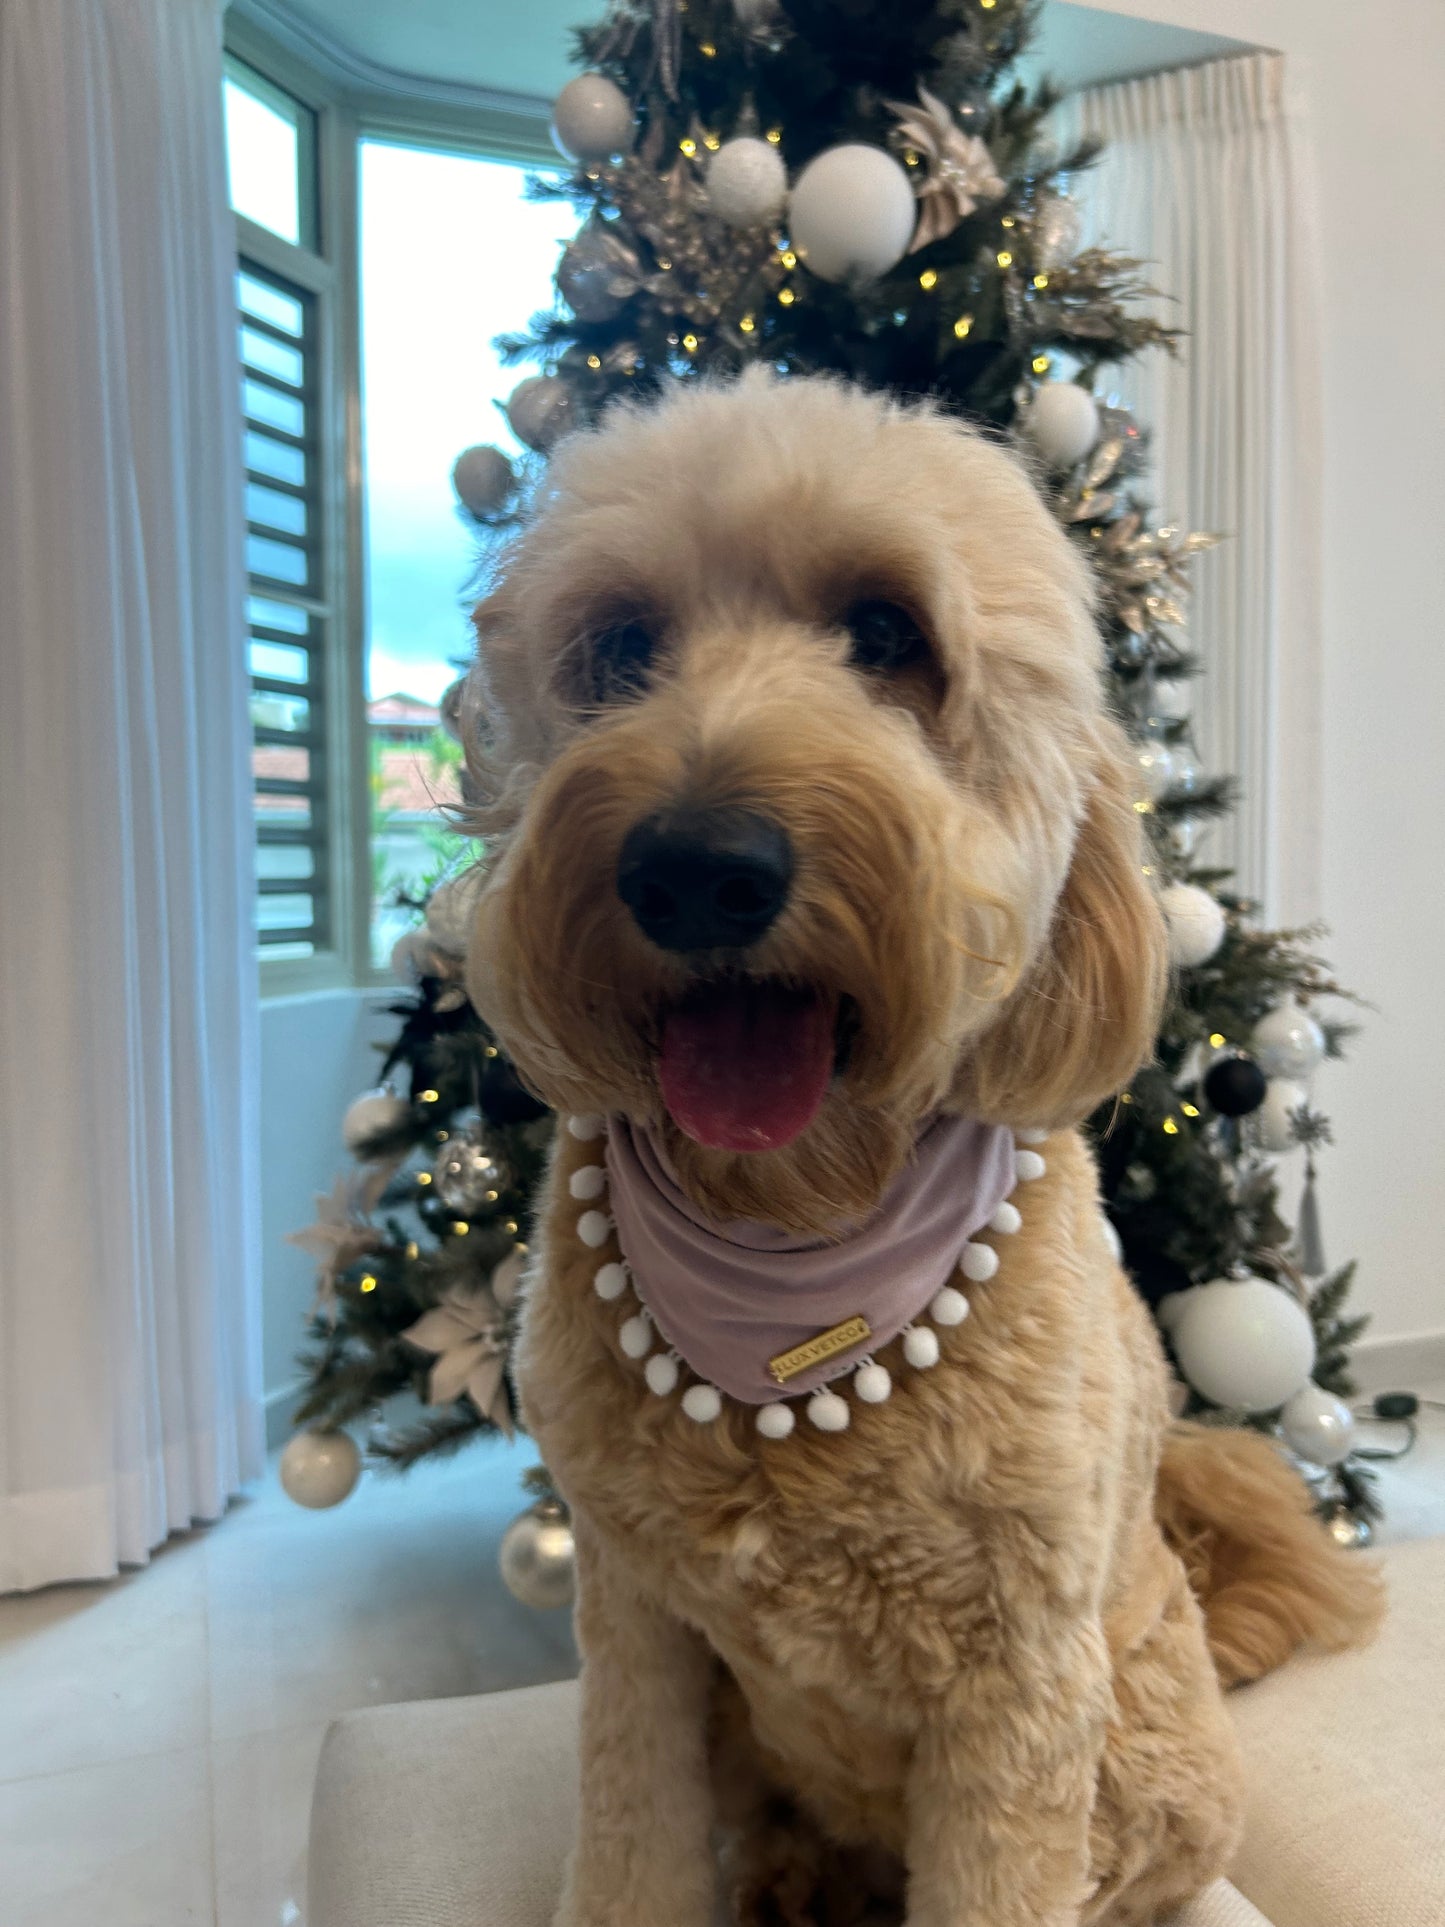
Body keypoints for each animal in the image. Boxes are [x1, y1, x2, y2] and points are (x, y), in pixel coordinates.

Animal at [460, 375, 1379, 1927]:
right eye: (623, 645)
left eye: (888, 633)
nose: (695, 866)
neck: (796, 1240)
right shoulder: (635, 1632)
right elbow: (635, 1850)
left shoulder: (1018, 1688)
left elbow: (1005, 1878)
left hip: (1142, 1751)